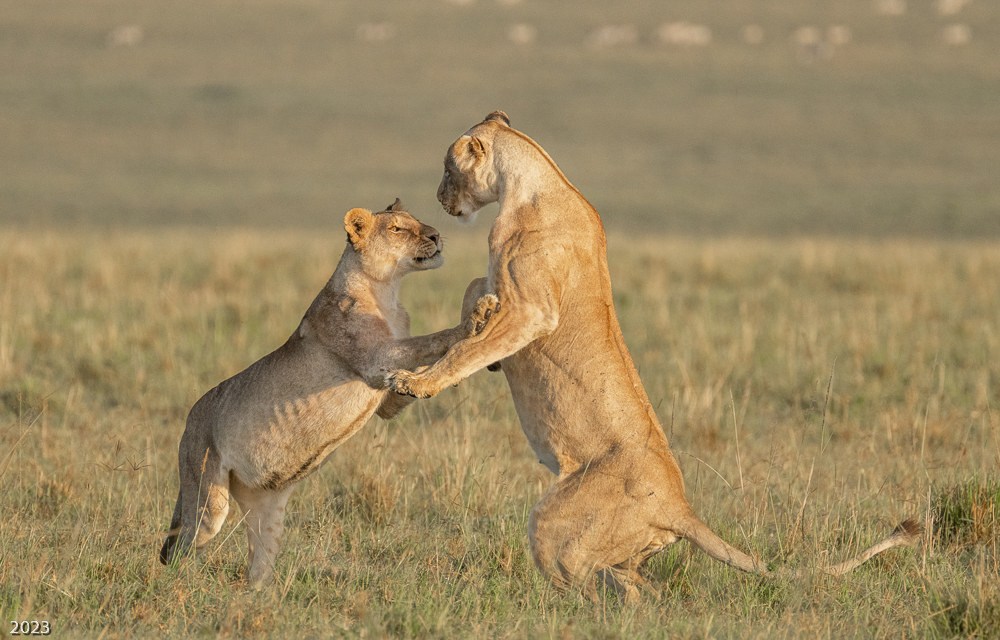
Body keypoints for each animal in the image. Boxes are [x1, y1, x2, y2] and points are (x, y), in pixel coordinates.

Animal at [159, 199, 499, 587]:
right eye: (397, 228)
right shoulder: (376, 360)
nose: (436, 235)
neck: (387, 291)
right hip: (206, 496)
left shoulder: (387, 396)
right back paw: (178, 587)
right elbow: (432, 340)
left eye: (415, 220)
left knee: (257, 565)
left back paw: (261, 595)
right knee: (181, 546)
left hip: (267, 512)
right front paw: (476, 318)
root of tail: (188, 422)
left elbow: (418, 371)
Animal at [387, 112, 920, 600]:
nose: (439, 197)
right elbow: (474, 296)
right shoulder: (508, 292)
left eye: (447, 167)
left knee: (602, 586)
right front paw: (479, 329)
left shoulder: (534, 311)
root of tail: (679, 507)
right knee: (640, 588)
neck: (531, 182)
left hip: (553, 526)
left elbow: (468, 348)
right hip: (619, 547)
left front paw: (415, 382)